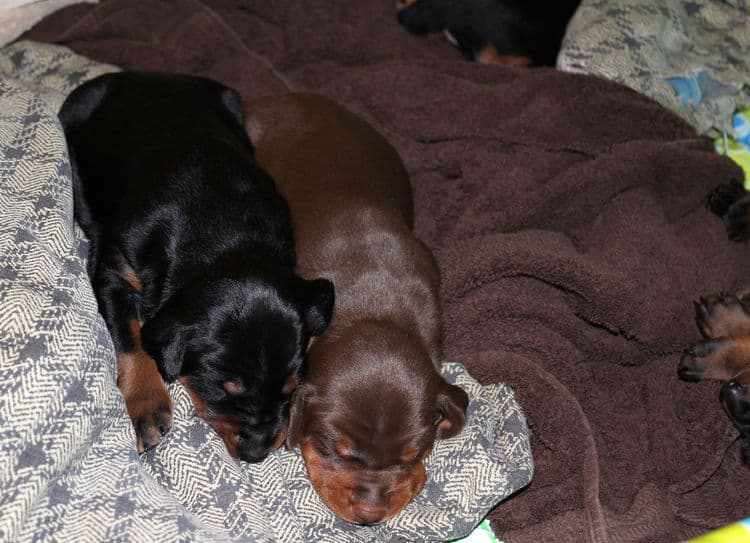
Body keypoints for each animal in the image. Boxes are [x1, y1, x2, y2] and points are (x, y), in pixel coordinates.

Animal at [60, 72, 336, 464]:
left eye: (291, 388)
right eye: (223, 390)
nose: (256, 453)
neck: (225, 240)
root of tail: (145, 75)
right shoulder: (114, 272)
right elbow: (130, 337)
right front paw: (147, 405)